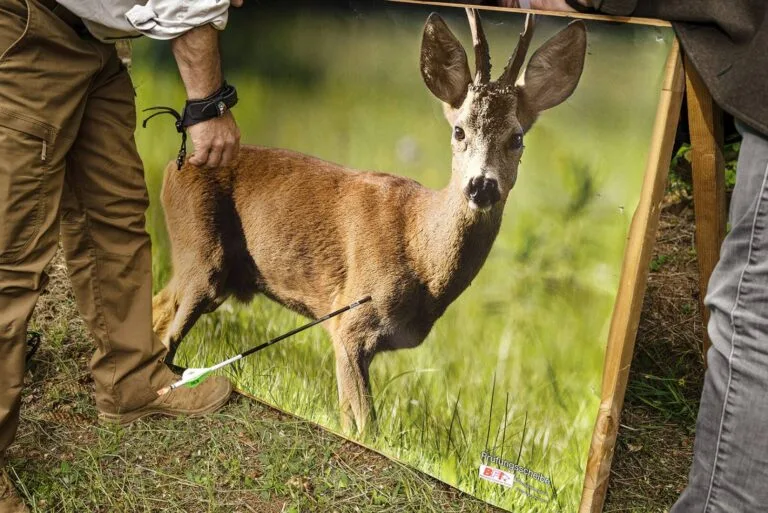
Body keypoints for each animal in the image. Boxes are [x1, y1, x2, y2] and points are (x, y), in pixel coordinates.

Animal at [151, 8, 587, 434]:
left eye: (517, 138)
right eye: (459, 131)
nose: (481, 185)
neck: (422, 253)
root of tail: (174, 166)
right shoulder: (350, 321)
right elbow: (366, 427)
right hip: (203, 257)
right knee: (167, 336)